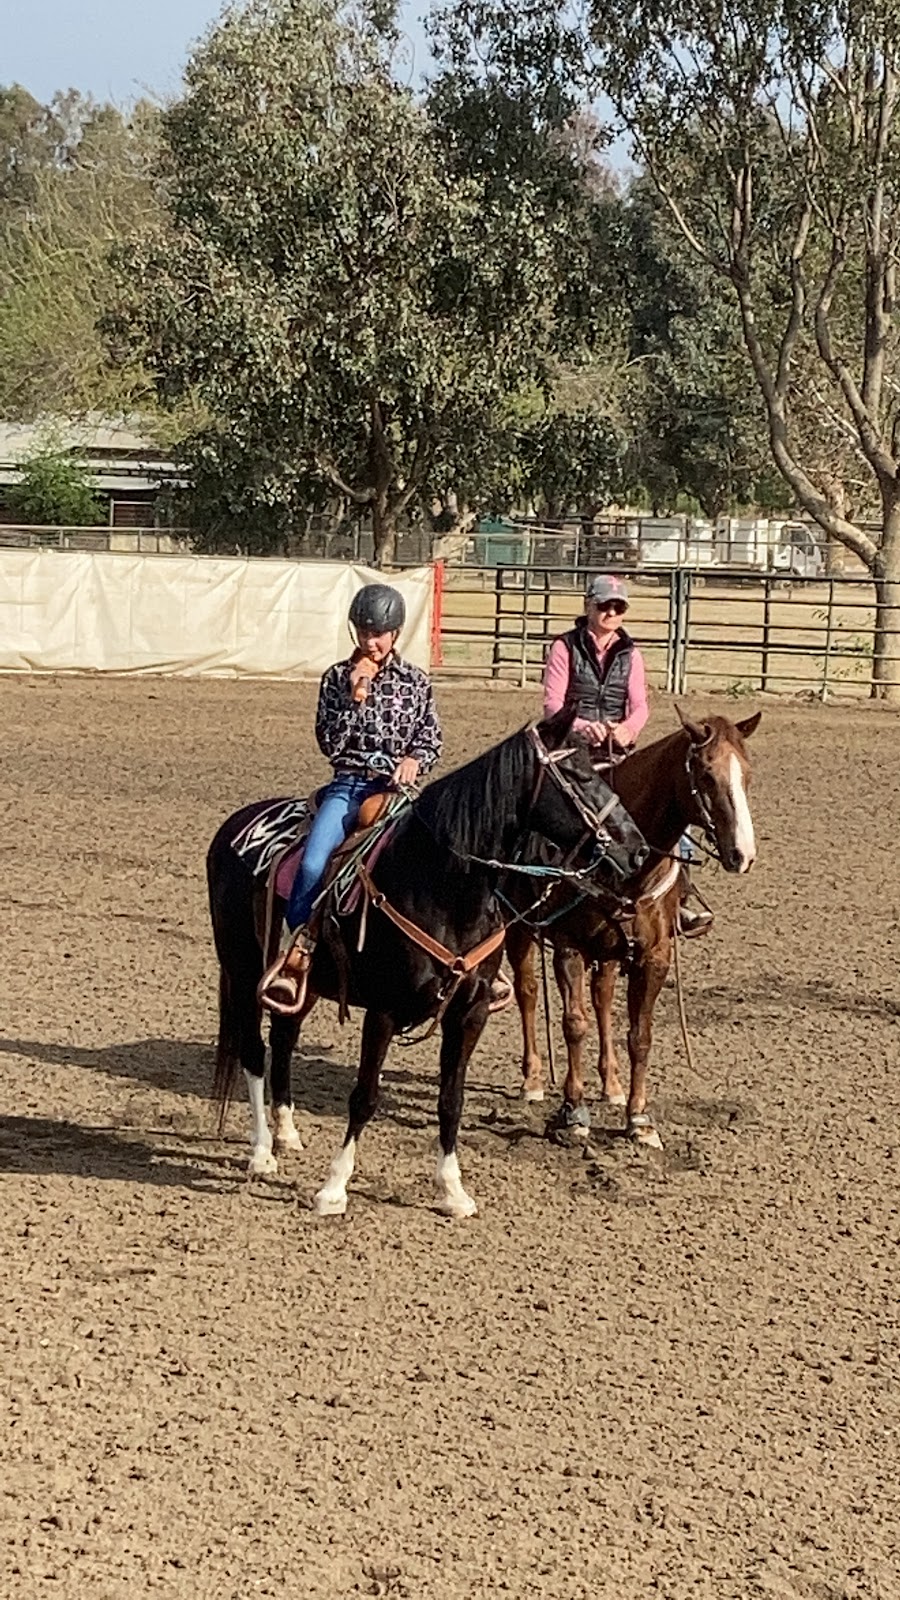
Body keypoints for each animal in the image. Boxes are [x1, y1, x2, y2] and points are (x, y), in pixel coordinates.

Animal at [506, 713, 755, 1152]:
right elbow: (574, 1025)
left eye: (749, 774)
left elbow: (640, 1036)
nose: (743, 854)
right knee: (527, 992)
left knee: (603, 999)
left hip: (608, 953)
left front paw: (639, 1118)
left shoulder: (653, 957)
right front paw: (573, 1113)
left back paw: (612, 1084)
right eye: (706, 774)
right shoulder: (569, 949)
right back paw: (533, 1078)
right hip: (518, 929)